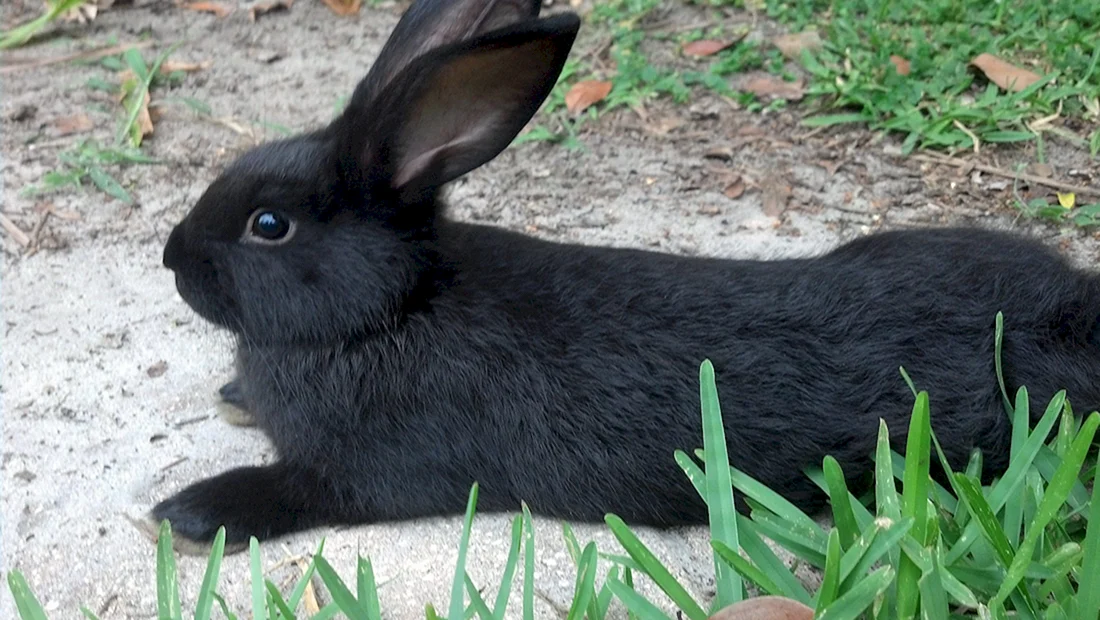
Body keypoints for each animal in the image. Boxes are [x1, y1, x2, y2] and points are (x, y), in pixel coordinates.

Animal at [155, 0, 1100, 551]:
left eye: (269, 225)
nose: (170, 259)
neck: (395, 306)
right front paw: (233, 401)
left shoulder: (371, 471)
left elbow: (304, 491)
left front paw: (190, 514)